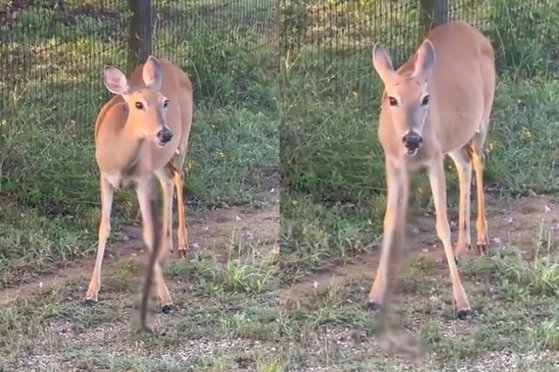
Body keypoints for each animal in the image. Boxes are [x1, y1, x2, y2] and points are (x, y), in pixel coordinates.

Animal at [85, 55, 195, 312]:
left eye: (165, 102)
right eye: (138, 104)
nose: (165, 134)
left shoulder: (141, 180)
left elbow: (147, 232)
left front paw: (166, 299)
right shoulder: (104, 177)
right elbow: (104, 227)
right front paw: (91, 292)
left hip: (183, 140)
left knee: (179, 176)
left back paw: (182, 243)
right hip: (160, 161)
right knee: (168, 179)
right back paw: (168, 245)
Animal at [370, 20, 496, 318]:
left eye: (426, 98)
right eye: (392, 99)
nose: (412, 139)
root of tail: (473, 30)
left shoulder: (433, 160)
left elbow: (441, 225)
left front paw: (462, 303)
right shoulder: (393, 162)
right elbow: (390, 220)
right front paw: (375, 295)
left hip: (482, 118)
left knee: (478, 159)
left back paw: (482, 239)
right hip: (452, 138)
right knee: (464, 163)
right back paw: (462, 247)